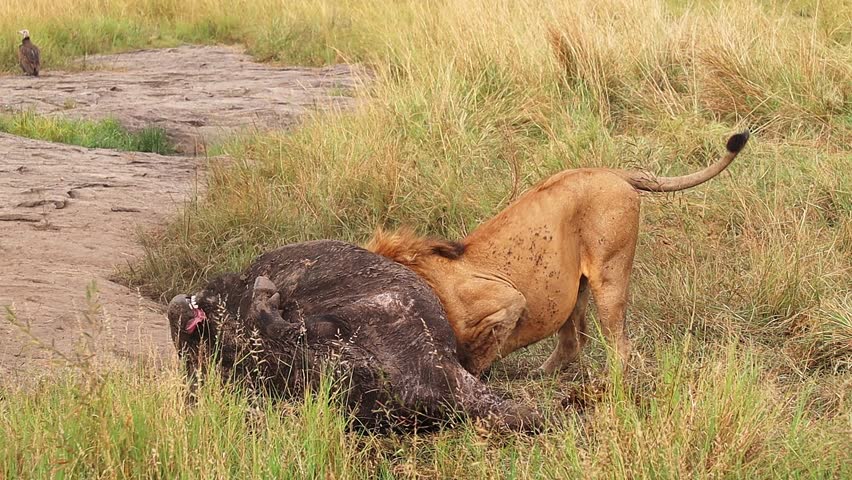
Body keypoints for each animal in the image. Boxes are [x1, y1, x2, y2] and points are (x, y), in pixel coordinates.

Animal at [368, 131, 750, 376]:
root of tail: (611, 170)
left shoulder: (508, 302)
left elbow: (474, 359)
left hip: (609, 272)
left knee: (618, 344)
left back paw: (608, 385)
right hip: (570, 287)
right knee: (573, 341)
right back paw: (542, 375)